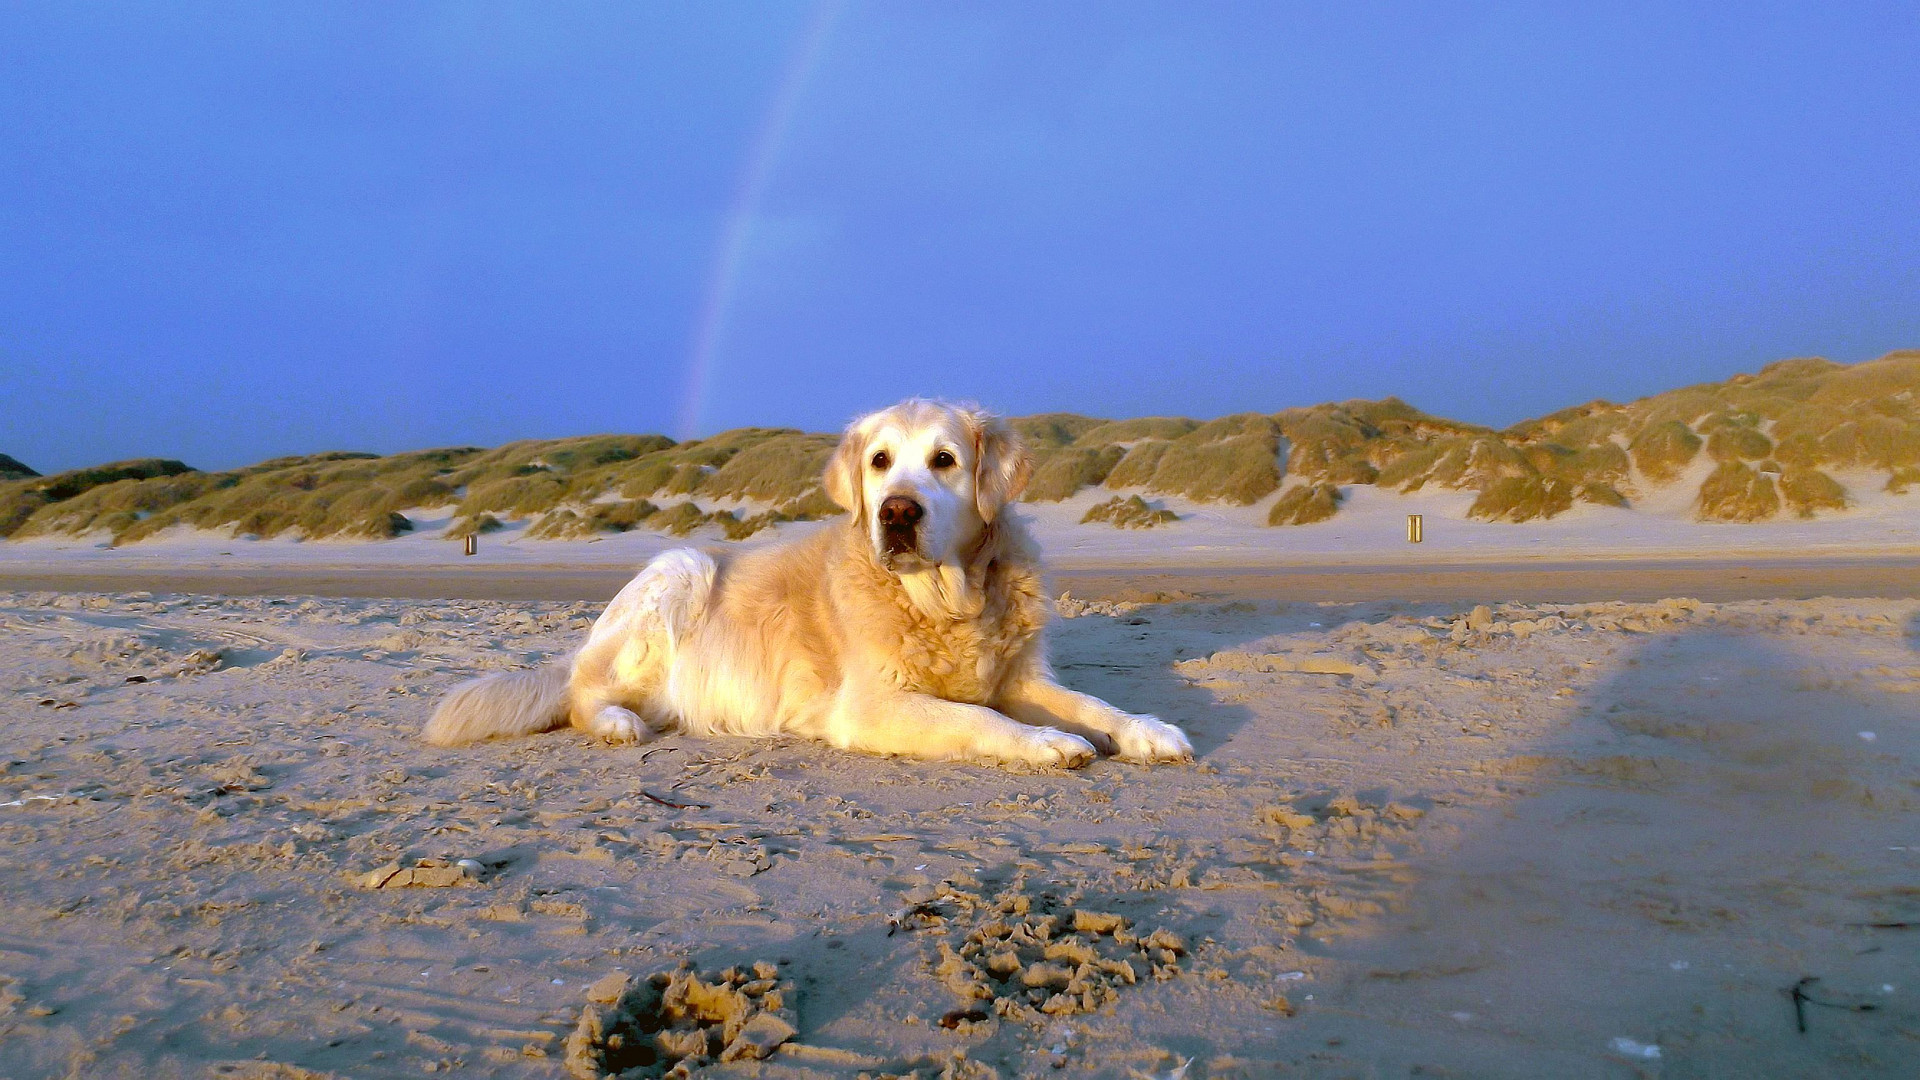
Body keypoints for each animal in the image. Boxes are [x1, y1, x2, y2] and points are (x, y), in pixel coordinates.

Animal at [428, 397, 1190, 764]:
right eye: (880, 461)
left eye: (944, 460)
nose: (896, 513)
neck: (946, 600)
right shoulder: (872, 705)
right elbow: (975, 716)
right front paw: (1045, 744)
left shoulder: (1019, 679)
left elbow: (1092, 703)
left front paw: (1147, 730)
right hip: (680, 568)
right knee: (583, 694)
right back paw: (617, 722)